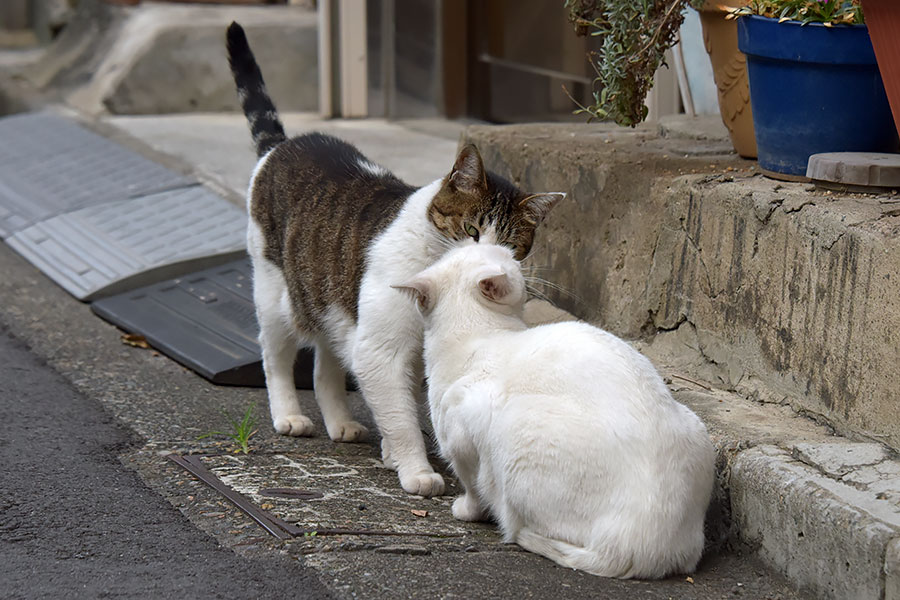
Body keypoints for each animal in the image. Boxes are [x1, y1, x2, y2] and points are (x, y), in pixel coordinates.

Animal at [225, 22, 564, 496]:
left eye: (513, 246)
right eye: (472, 231)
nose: (492, 260)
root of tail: (284, 144)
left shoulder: (396, 348)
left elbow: (402, 405)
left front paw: (392, 453)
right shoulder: (380, 349)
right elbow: (401, 417)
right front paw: (416, 470)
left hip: (332, 303)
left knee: (326, 365)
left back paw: (342, 423)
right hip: (275, 295)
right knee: (275, 357)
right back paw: (289, 415)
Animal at [398, 243, 712, 576]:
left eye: (506, 253)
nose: (514, 253)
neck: (476, 333)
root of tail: (643, 549)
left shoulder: (461, 435)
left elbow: (472, 485)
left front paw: (467, 510)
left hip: (516, 429)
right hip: (694, 423)